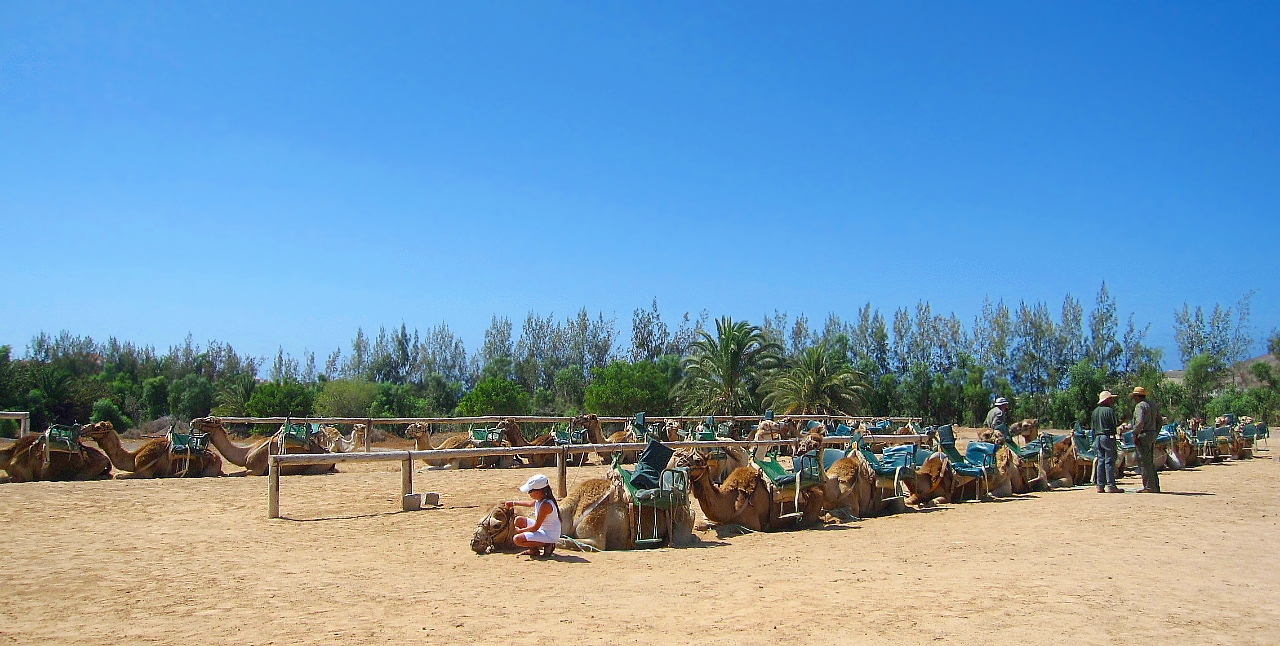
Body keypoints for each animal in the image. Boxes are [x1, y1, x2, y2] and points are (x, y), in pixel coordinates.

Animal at [79, 419, 222, 475]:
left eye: (98, 427)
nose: (83, 429)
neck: (133, 458)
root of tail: (217, 457)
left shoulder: (145, 473)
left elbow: (117, 475)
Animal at [190, 414, 335, 475]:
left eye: (209, 421)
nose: (193, 421)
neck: (246, 454)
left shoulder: (256, 470)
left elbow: (234, 474)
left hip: (316, 466)